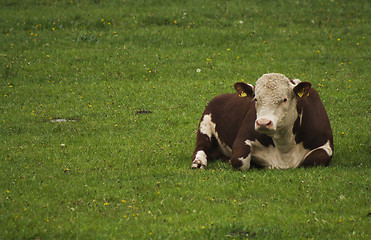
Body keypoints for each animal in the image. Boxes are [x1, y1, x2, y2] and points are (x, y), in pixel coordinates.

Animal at [192, 72, 334, 170]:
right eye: (255, 99)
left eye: (285, 99)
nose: (263, 123)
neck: (285, 148)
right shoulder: (242, 139)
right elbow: (239, 160)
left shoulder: (326, 144)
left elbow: (318, 157)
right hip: (204, 127)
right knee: (201, 147)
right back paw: (198, 162)